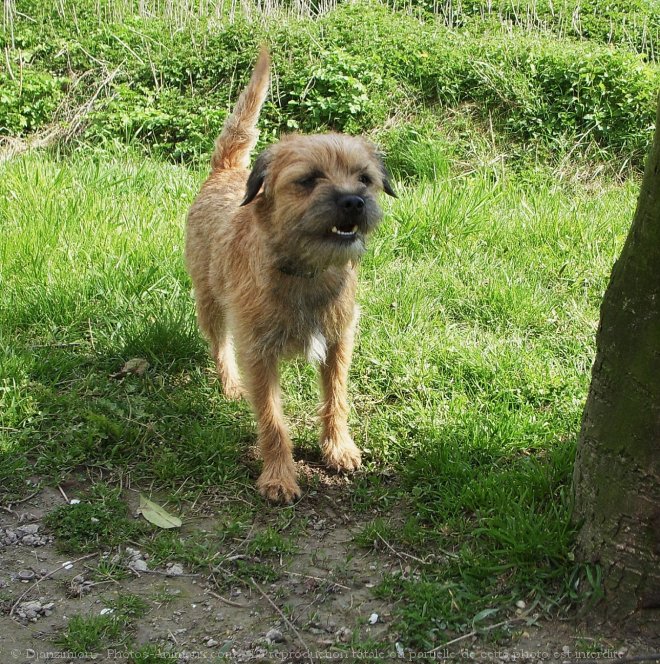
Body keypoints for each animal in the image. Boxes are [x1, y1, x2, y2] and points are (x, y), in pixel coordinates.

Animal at [183, 48, 394, 504]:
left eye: (364, 178)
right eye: (309, 179)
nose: (353, 201)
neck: (305, 272)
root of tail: (225, 169)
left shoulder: (338, 341)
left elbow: (336, 399)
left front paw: (338, 448)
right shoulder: (258, 354)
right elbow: (273, 420)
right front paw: (279, 476)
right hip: (208, 299)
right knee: (219, 344)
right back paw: (229, 384)